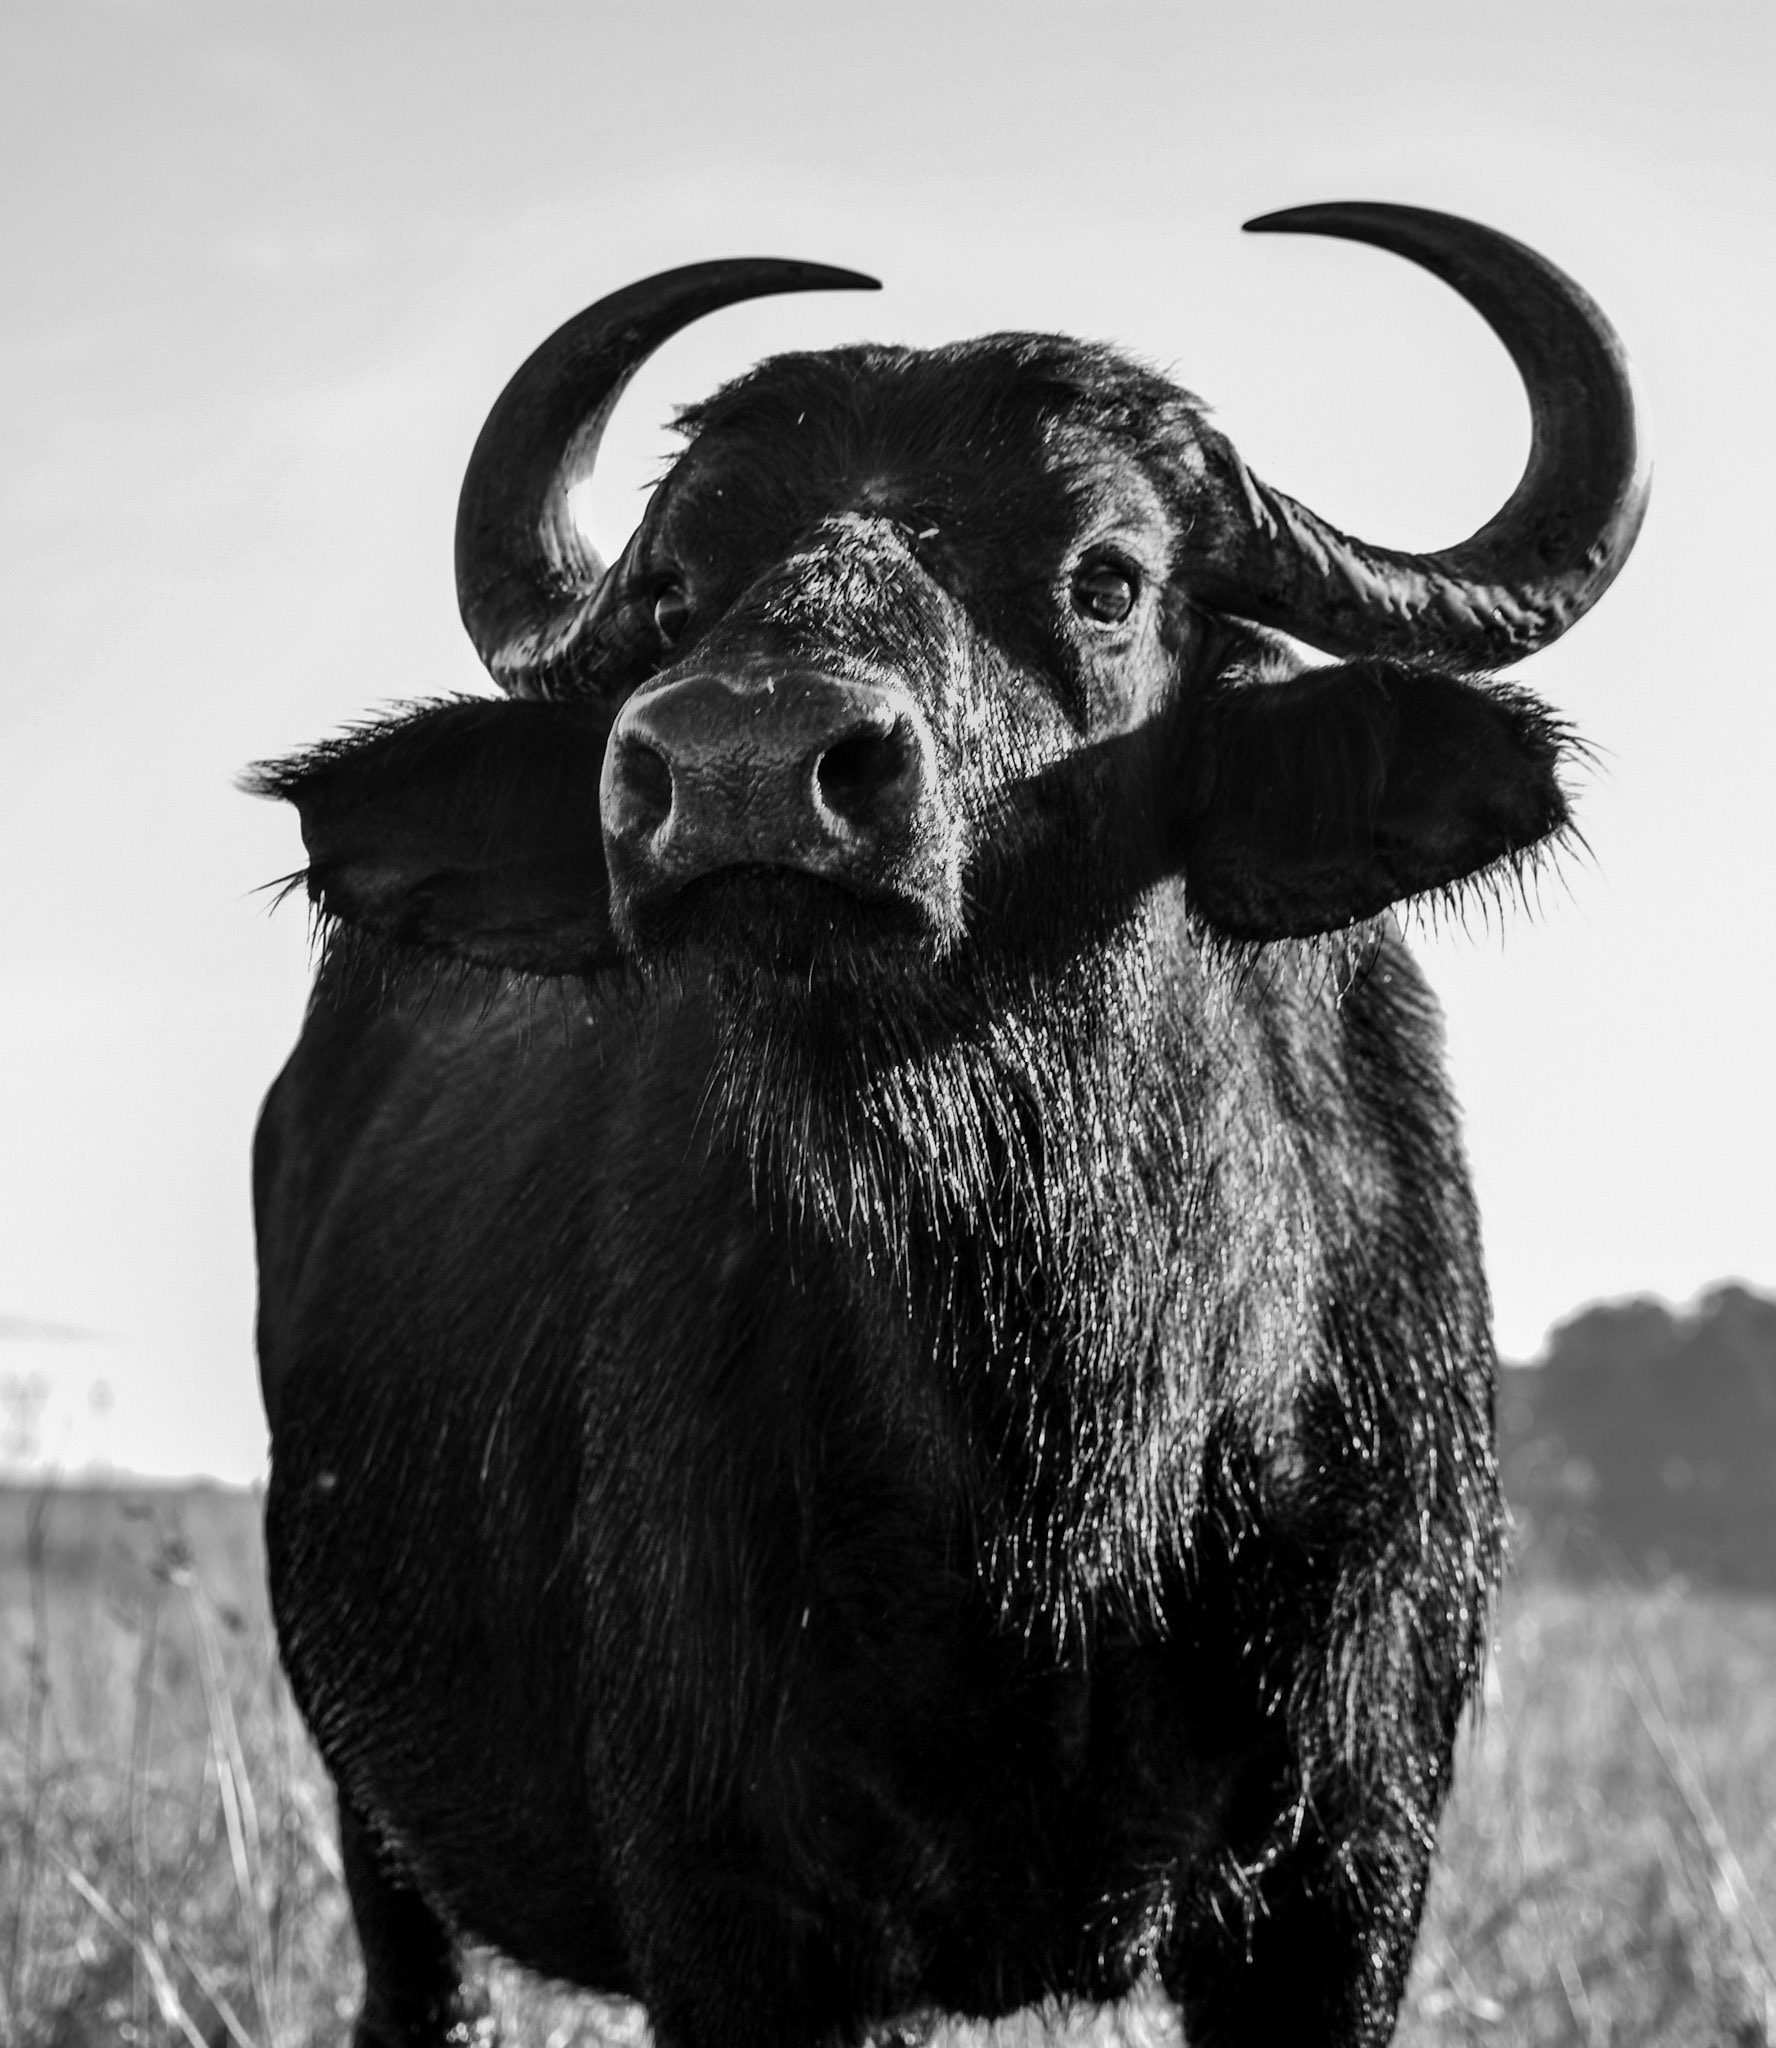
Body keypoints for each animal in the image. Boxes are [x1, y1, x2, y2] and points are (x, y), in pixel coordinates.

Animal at [251, 203, 1646, 2047]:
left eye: (1108, 578)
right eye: (680, 589)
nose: (743, 767)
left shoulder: (1352, 1870)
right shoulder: (722, 1902)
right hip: (376, 1815)